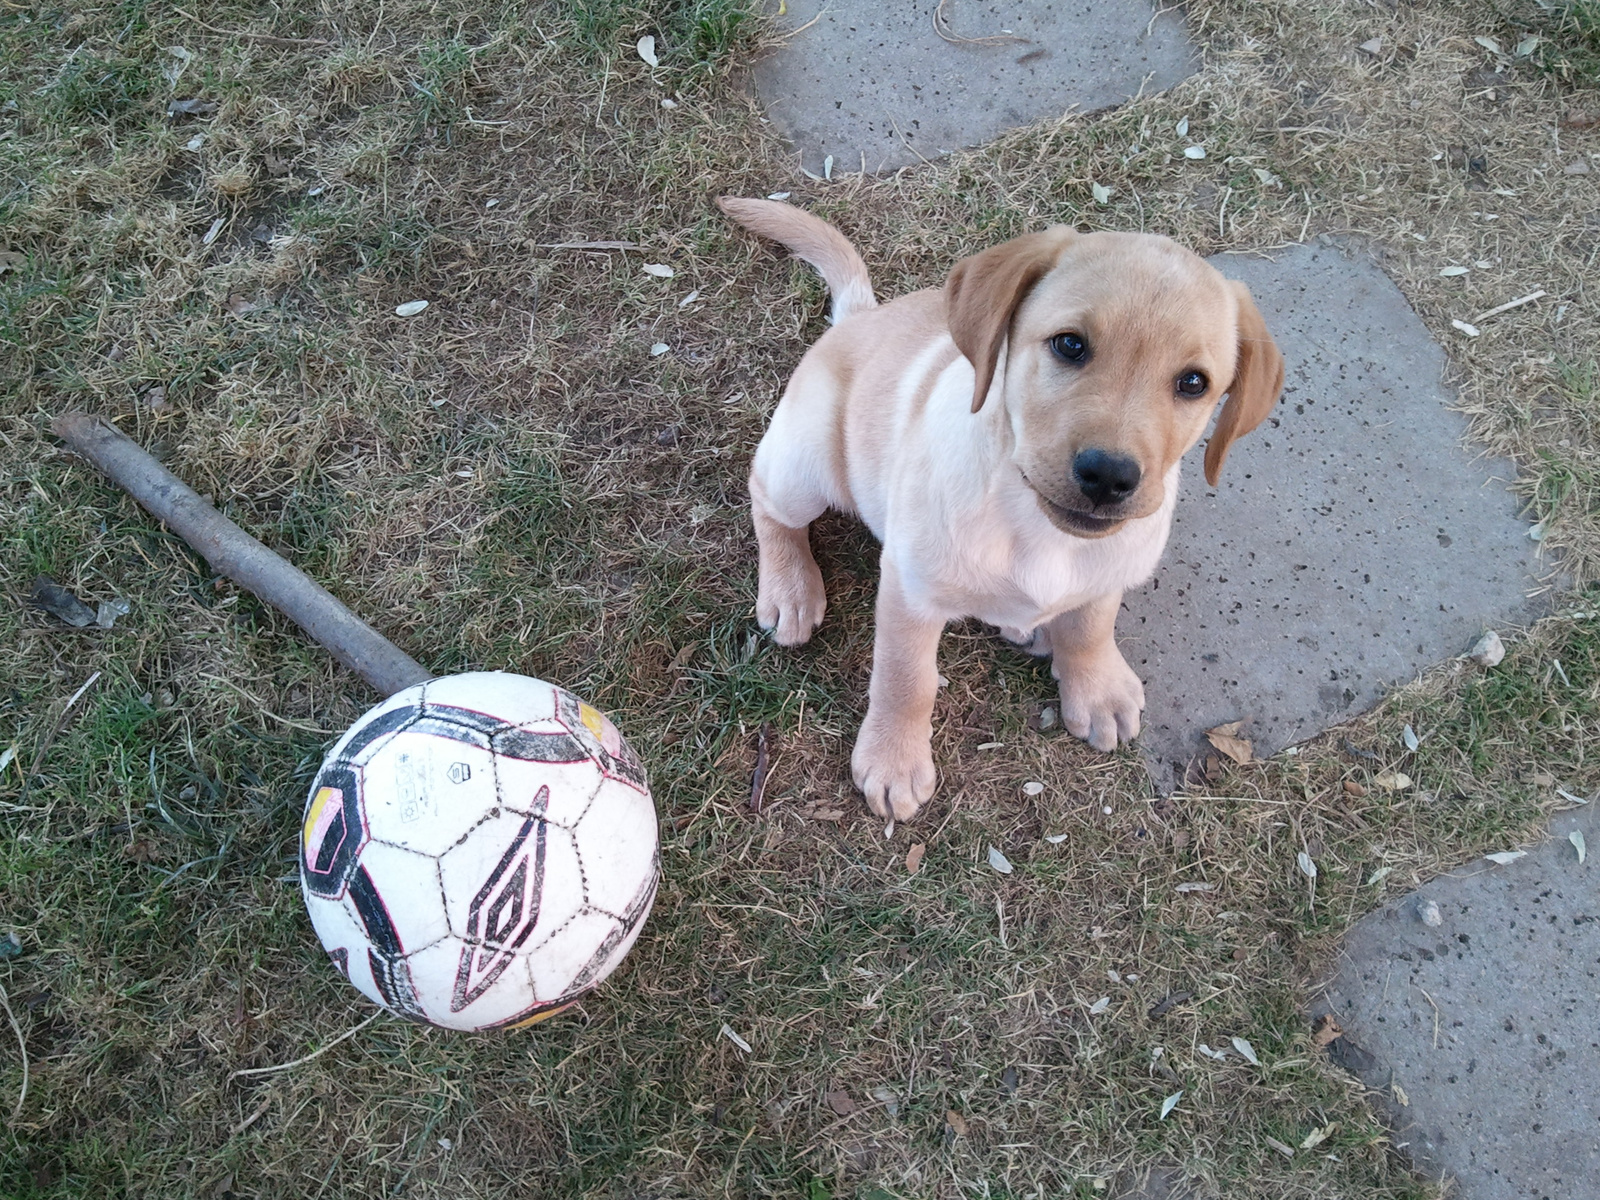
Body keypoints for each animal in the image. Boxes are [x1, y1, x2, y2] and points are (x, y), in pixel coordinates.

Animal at [726, 200, 1286, 825]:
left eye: (1193, 383)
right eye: (1069, 345)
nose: (1110, 476)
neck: (1034, 523)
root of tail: (859, 318)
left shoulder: (1109, 566)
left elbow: (1093, 623)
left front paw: (1096, 686)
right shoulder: (911, 589)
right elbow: (905, 678)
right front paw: (894, 759)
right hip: (806, 464)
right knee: (768, 500)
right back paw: (791, 589)